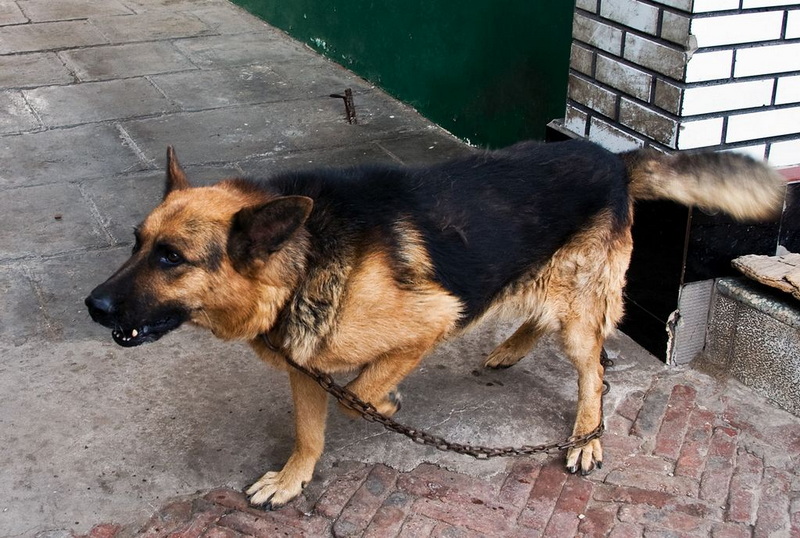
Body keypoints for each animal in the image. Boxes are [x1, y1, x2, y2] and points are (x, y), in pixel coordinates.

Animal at [84, 139, 784, 506]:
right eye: (137, 244)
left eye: (171, 258)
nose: (93, 306)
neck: (301, 259)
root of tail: (612, 157)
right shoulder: (308, 365)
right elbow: (310, 433)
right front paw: (292, 479)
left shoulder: (432, 320)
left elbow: (360, 394)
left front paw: (387, 401)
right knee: (536, 316)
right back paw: (509, 349)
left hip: (579, 313)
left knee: (594, 372)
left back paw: (586, 436)